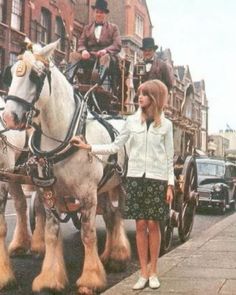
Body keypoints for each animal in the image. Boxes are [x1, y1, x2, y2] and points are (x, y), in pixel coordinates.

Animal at [2, 40, 131, 294]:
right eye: (10, 73)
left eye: (35, 75)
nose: (9, 118)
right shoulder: (48, 191)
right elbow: (52, 232)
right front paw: (50, 279)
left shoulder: (88, 194)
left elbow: (88, 234)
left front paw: (90, 280)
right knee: (109, 216)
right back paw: (108, 255)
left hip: (119, 185)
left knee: (118, 215)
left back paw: (118, 256)